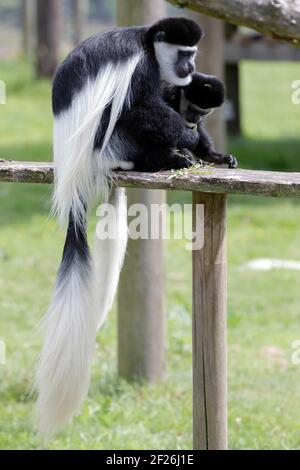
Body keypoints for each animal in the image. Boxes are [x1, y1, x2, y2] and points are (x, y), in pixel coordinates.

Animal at [36, 17, 203, 436]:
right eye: (184, 53)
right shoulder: (139, 68)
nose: (191, 68)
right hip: (109, 144)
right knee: (127, 114)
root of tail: (74, 181)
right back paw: (167, 158)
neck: (146, 41)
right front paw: (190, 136)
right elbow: (142, 106)